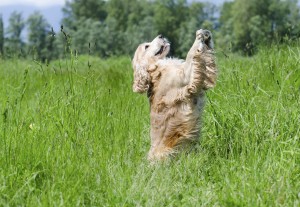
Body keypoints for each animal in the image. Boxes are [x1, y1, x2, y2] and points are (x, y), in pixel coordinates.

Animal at [132, 29, 217, 162]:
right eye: (146, 46)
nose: (161, 35)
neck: (153, 69)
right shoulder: (184, 76)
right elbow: (191, 53)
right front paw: (199, 36)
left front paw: (207, 36)